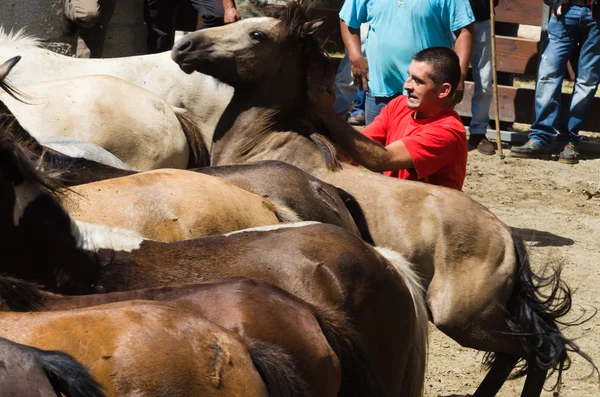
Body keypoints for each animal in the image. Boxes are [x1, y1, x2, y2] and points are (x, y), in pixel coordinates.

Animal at [171, 3, 596, 396]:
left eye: (258, 34)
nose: (183, 46)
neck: (265, 143)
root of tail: (507, 236)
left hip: (464, 319)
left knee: (542, 349)